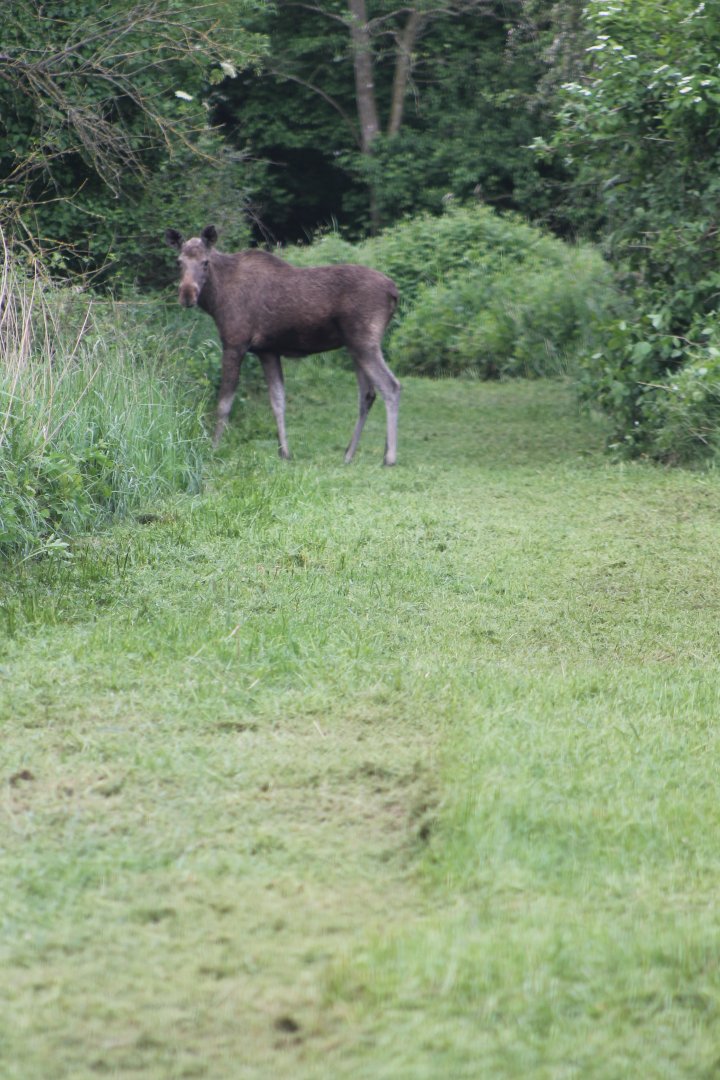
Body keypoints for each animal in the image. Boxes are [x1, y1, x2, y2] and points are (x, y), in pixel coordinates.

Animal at [165, 226, 401, 465]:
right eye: (178, 262)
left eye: (205, 262)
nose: (187, 295)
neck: (216, 301)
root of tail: (394, 292)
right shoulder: (267, 351)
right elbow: (278, 400)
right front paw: (284, 452)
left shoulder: (234, 344)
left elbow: (224, 403)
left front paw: (213, 449)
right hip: (354, 347)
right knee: (367, 394)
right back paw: (349, 454)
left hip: (365, 342)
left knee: (391, 386)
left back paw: (389, 457)